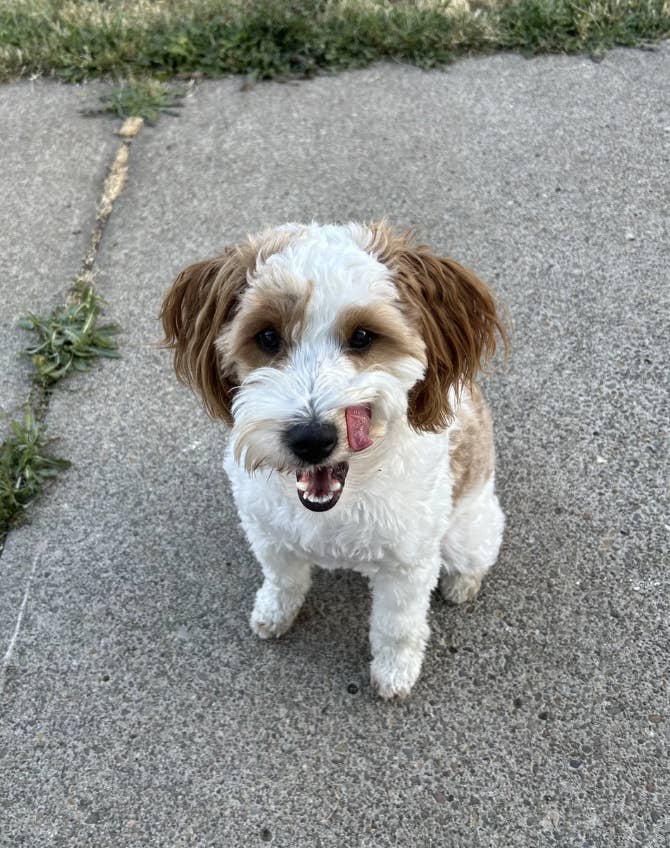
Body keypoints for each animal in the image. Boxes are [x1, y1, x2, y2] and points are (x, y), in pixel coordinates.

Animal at [164, 222, 510, 700]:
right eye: (267, 337)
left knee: (475, 554)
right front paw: (275, 612)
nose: (311, 440)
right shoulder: (268, 534)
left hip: (467, 529)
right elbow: (283, 579)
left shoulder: (407, 566)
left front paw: (395, 671)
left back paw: (461, 582)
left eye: (362, 337)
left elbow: (398, 627)